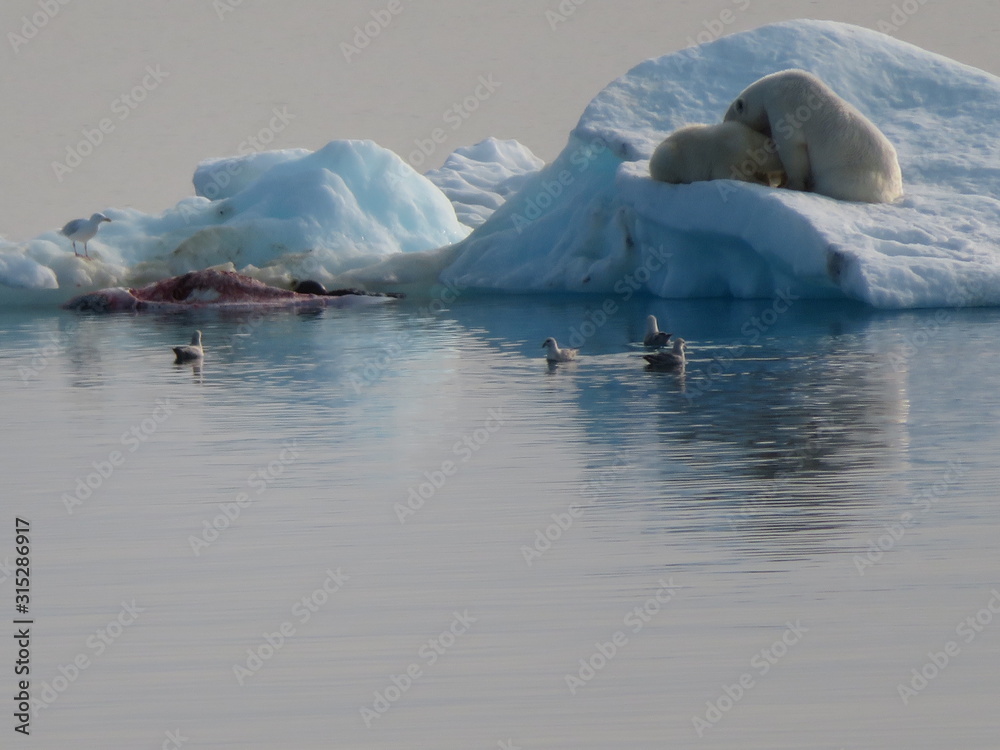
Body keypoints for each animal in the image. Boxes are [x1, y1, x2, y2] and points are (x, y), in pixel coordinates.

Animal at [723, 69, 903, 203]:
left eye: (728, 120)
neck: (771, 87)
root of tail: (895, 190)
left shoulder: (783, 105)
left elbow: (792, 148)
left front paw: (789, 185)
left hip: (852, 177)